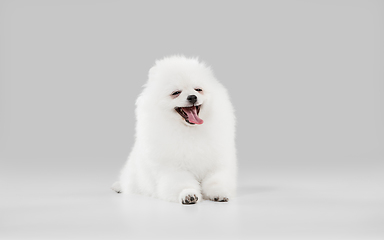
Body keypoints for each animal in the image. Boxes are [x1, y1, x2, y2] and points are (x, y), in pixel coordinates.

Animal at [112, 56, 237, 204]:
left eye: (198, 89)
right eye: (176, 93)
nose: (192, 97)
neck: (189, 131)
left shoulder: (216, 165)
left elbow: (215, 181)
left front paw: (219, 192)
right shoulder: (173, 168)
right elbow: (182, 183)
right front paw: (188, 194)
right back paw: (118, 186)